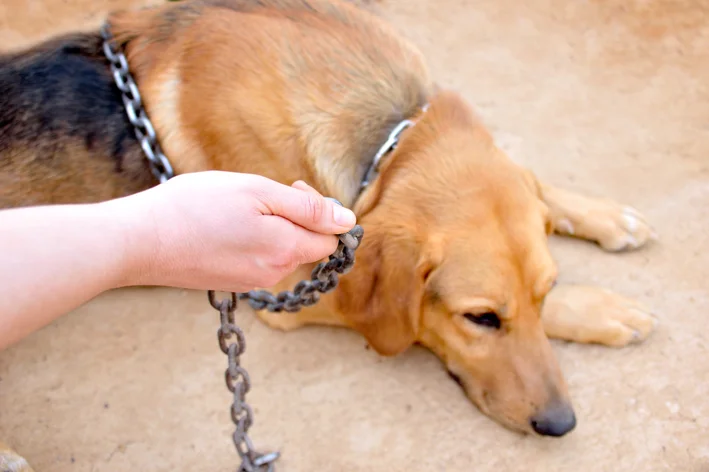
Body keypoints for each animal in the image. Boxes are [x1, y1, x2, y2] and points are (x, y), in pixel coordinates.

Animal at [0, 0, 660, 464]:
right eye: (480, 319)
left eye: (542, 292)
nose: (559, 425)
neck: (392, 138)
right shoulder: (286, 288)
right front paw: (604, 309)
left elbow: (540, 187)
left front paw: (602, 218)